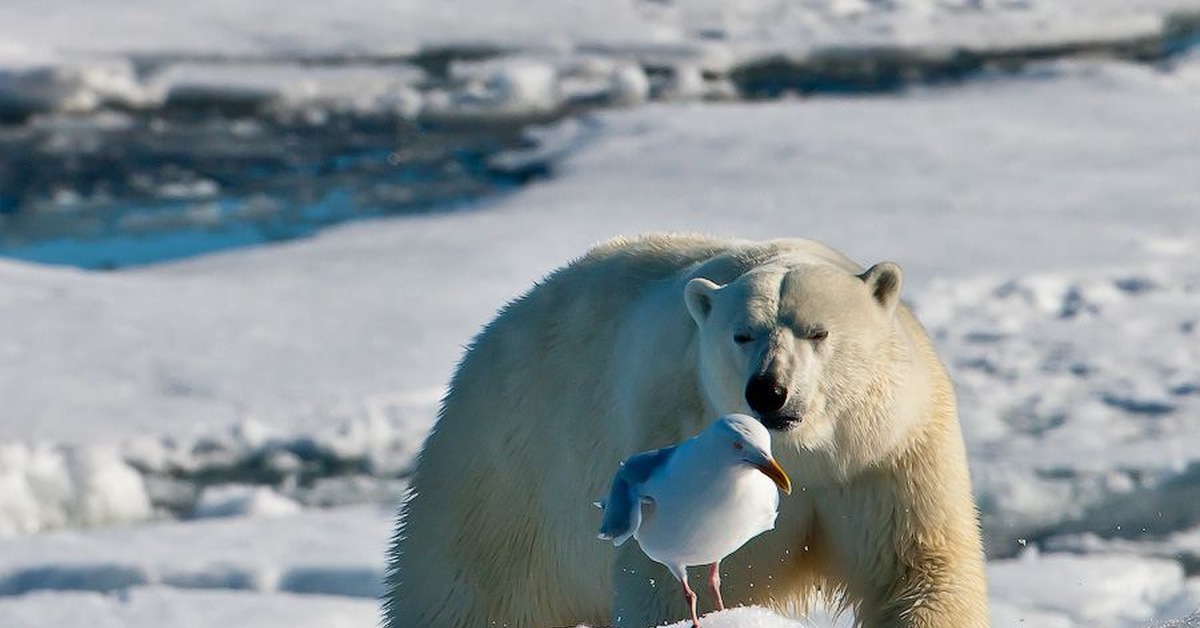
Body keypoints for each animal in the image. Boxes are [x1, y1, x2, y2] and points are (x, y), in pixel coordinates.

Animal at [388, 234, 988, 628]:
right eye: (742, 334)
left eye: (818, 332)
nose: (768, 391)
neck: (806, 456)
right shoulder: (672, 441)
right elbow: (667, 582)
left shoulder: (884, 458)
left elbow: (916, 570)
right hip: (501, 485)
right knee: (464, 596)